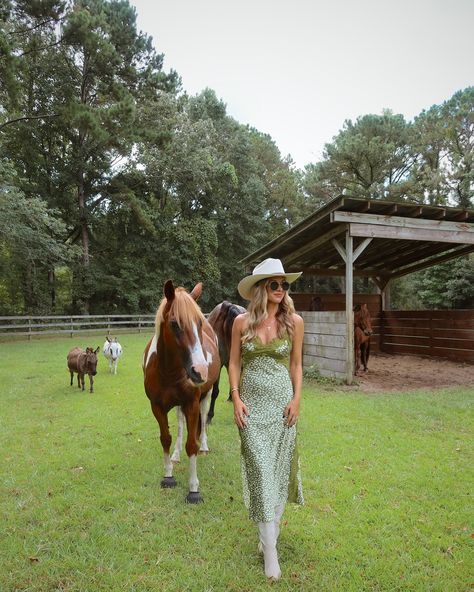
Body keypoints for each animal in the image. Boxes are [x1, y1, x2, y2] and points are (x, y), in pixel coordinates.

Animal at [143, 280, 220, 502]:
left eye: (199, 323)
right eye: (175, 324)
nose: (200, 370)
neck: (167, 371)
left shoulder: (191, 404)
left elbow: (191, 445)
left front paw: (193, 489)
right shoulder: (157, 407)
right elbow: (166, 438)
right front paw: (168, 475)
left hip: (206, 395)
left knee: (203, 419)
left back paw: (204, 446)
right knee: (179, 425)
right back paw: (176, 455)